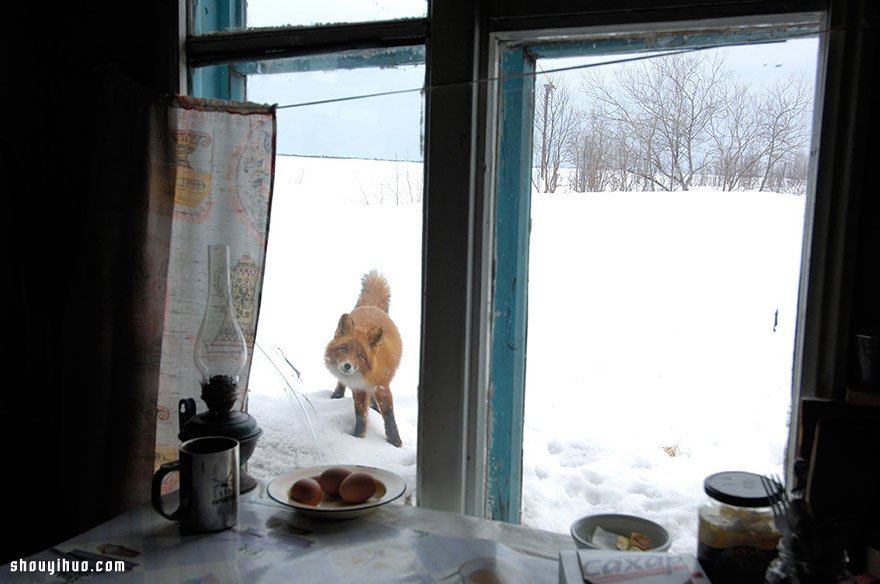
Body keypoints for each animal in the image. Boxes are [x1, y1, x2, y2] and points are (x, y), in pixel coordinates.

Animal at [324, 270, 404, 448]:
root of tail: (371, 307)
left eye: (360, 356)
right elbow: (360, 414)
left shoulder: (382, 386)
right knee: (341, 383)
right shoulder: (359, 388)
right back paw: (338, 395)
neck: (367, 375)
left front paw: (395, 441)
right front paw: (358, 436)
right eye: (344, 349)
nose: (347, 366)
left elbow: (389, 415)